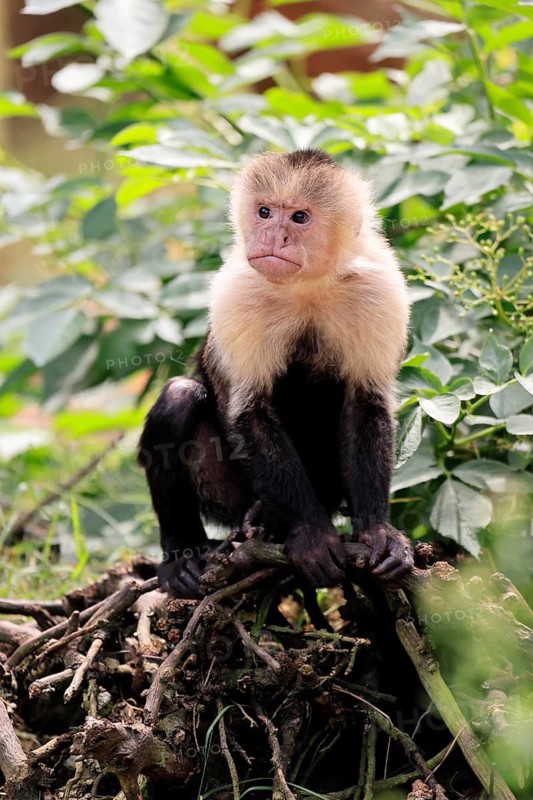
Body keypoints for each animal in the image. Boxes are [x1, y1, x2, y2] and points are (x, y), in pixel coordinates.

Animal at [138, 149, 413, 598]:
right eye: (265, 212)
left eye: (299, 217)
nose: (272, 237)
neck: (307, 286)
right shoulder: (237, 290)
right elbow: (250, 410)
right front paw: (312, 534)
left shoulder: (378, 287)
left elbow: (366, 402)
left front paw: (377, 530)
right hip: (228, 496)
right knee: (179, 397)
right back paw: (185, 551)